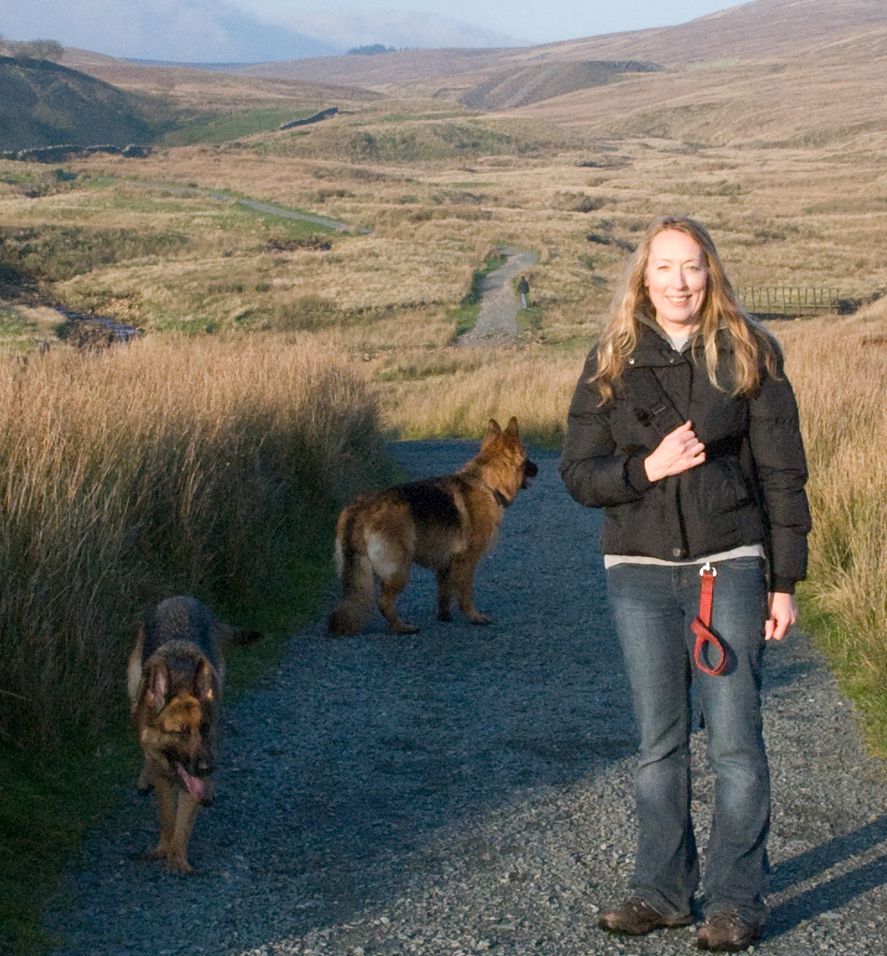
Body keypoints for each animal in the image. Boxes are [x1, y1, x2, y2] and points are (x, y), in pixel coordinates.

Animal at [128, 596, 260, 872]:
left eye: (204, 728)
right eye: (181, 732)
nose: (208, 768)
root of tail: (182, 598)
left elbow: (184, 820)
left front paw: (178, 858)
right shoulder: (165, 776)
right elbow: (167, 816)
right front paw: (164, 849)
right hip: (132, 682)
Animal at [326, 416, 536, 636]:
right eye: (527, 457)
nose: (538, 469)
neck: (488, 483)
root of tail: (359, 508)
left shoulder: (446, 563)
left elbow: (444, 592)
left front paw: (444, 616)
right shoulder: (467, 561)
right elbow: (465, 593)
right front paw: (474, 617)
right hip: (399, 568)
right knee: (384, 603)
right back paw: (401, 627)